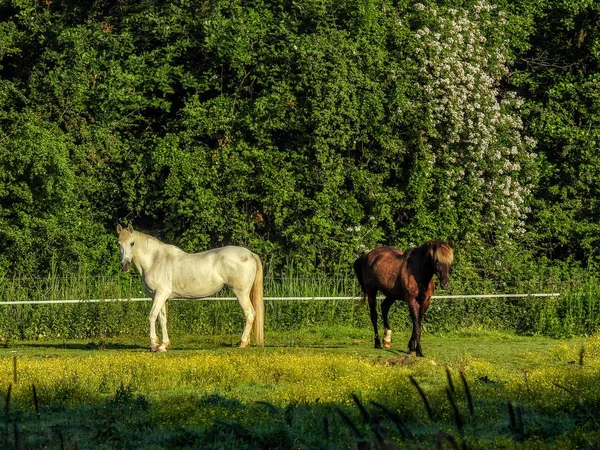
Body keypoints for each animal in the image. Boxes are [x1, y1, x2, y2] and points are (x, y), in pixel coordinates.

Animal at [116, 225, 264, 352]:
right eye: (119, 244)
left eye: (132, 243)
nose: (124, 265)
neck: (155, 260)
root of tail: (250, 254)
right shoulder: (160, 297)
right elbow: (162, 319)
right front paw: (164, 345)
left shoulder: (160, 294)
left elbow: (152, 316)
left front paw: (153, 345)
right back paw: (247, 342)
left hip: (241, 293)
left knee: (250, 313)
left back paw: (243, 342)